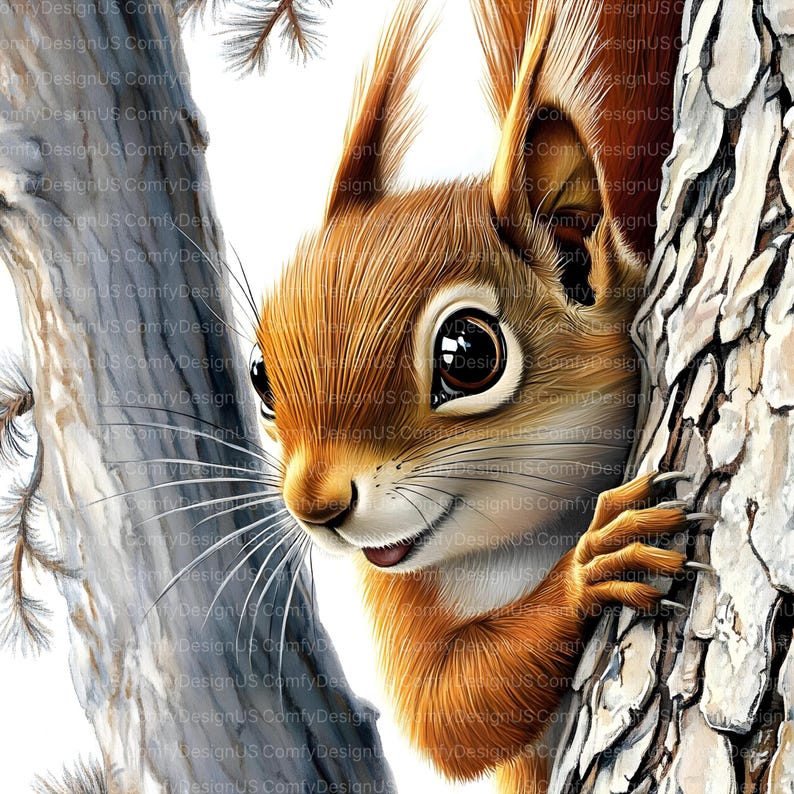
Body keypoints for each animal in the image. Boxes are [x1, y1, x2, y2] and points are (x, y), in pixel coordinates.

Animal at [251, 0, 686, 791]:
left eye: (468, 355)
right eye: (261, 377)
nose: (314, 508)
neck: (521, 536)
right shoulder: (399, 590)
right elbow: (446, 713)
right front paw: (592, 566)